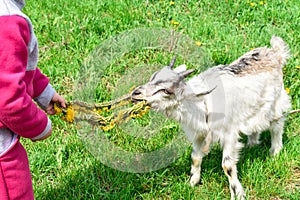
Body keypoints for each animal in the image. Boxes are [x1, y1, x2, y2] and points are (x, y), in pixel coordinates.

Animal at [131, 36, 290, 200]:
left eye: (166, 91)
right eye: (153, 76)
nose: (136, 93)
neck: (201, 103)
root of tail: (275, 52)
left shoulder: (228, 133)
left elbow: (227, 165)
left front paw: (238, 193)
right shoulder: (199, 132)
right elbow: (195, 156)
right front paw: (192, 183)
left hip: (276, 101)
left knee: (277, 124)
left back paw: (275, 151)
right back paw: (252, 144)